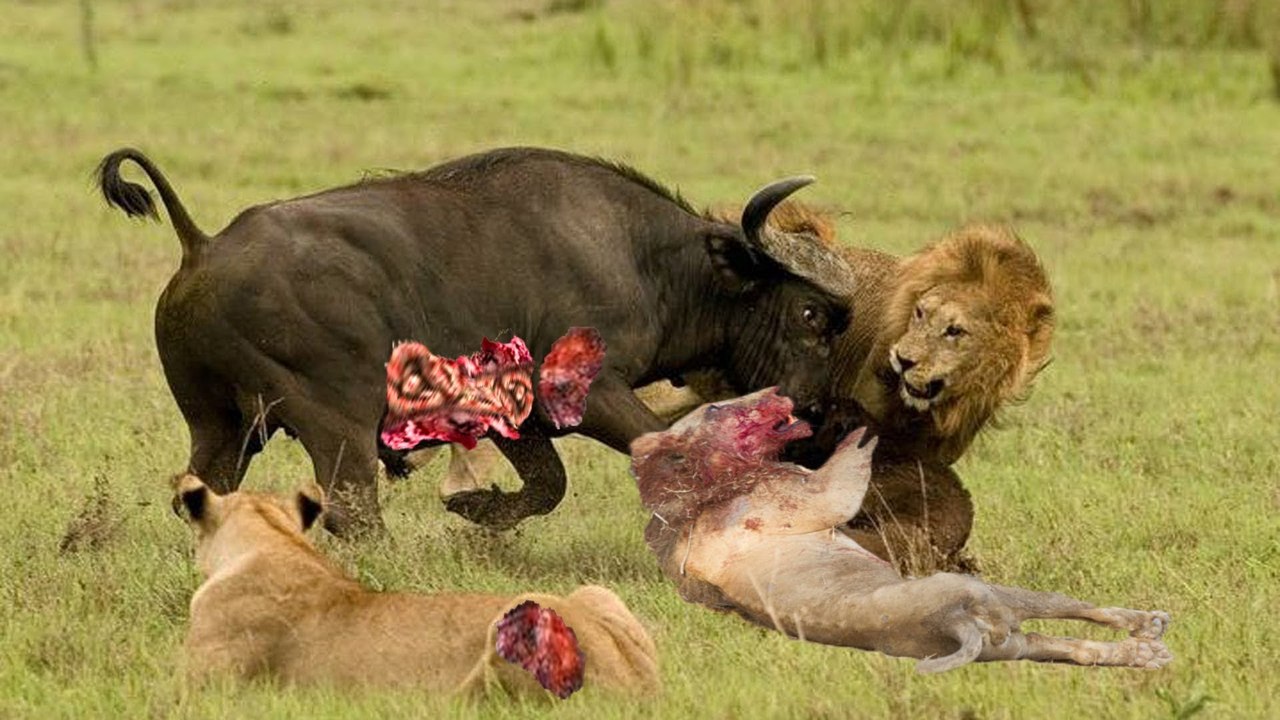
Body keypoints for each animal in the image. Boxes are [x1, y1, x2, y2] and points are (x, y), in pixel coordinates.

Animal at [98, 146, 854, 535]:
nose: (817, 414)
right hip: (334, 423)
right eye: (812, 314)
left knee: (199, 493)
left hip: (223, 427)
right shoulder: (592, 395)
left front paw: (478, 509)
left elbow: (547, 484)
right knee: (352, 511)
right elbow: (660, 450)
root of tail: (203, 246)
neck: (647, 260)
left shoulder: (516, 418)